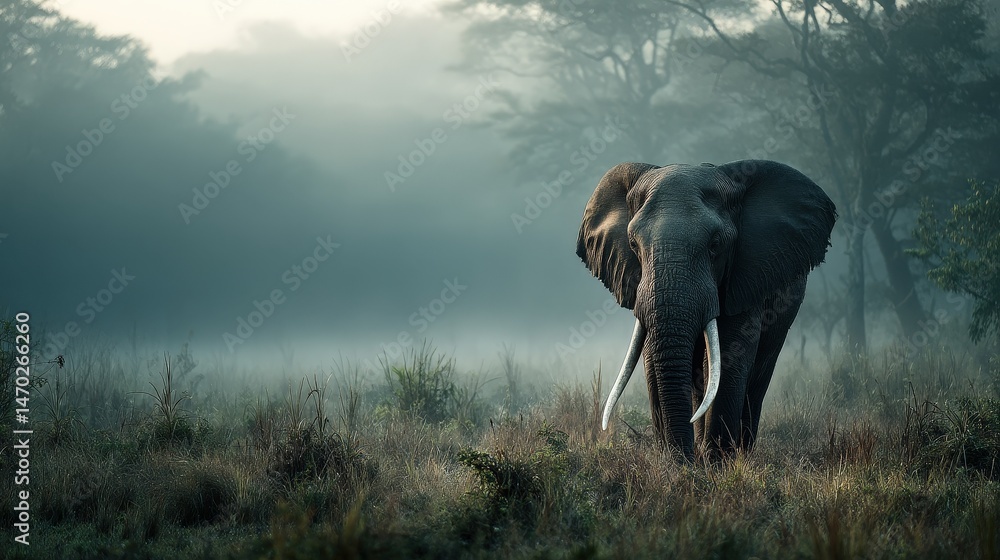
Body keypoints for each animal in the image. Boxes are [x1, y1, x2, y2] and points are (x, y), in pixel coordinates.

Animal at [576, 160, 836, 460]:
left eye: (715, 245)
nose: (684, 460)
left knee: (758, 371)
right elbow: (652, 356)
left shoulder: (745, 276)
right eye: (633, 244)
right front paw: (676, 462)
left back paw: (739, 452)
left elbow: (731, 352)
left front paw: (717, 463)